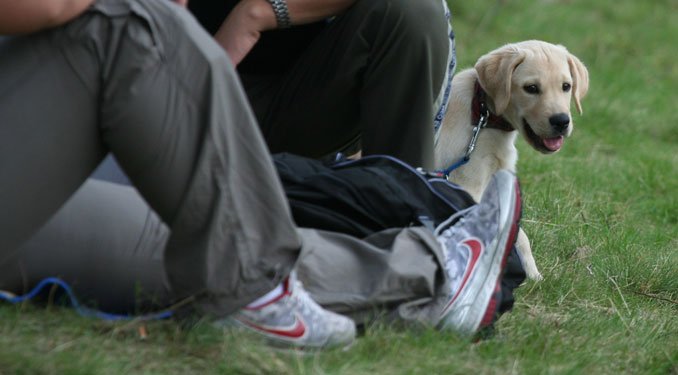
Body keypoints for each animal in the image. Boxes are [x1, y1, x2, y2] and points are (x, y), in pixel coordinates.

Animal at [436, 41, 588, 282]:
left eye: (566, 86)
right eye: (531, 88)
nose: (561, 121)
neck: (483, 115)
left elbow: (519, 235)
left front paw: (533, 274)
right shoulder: (468, 188)